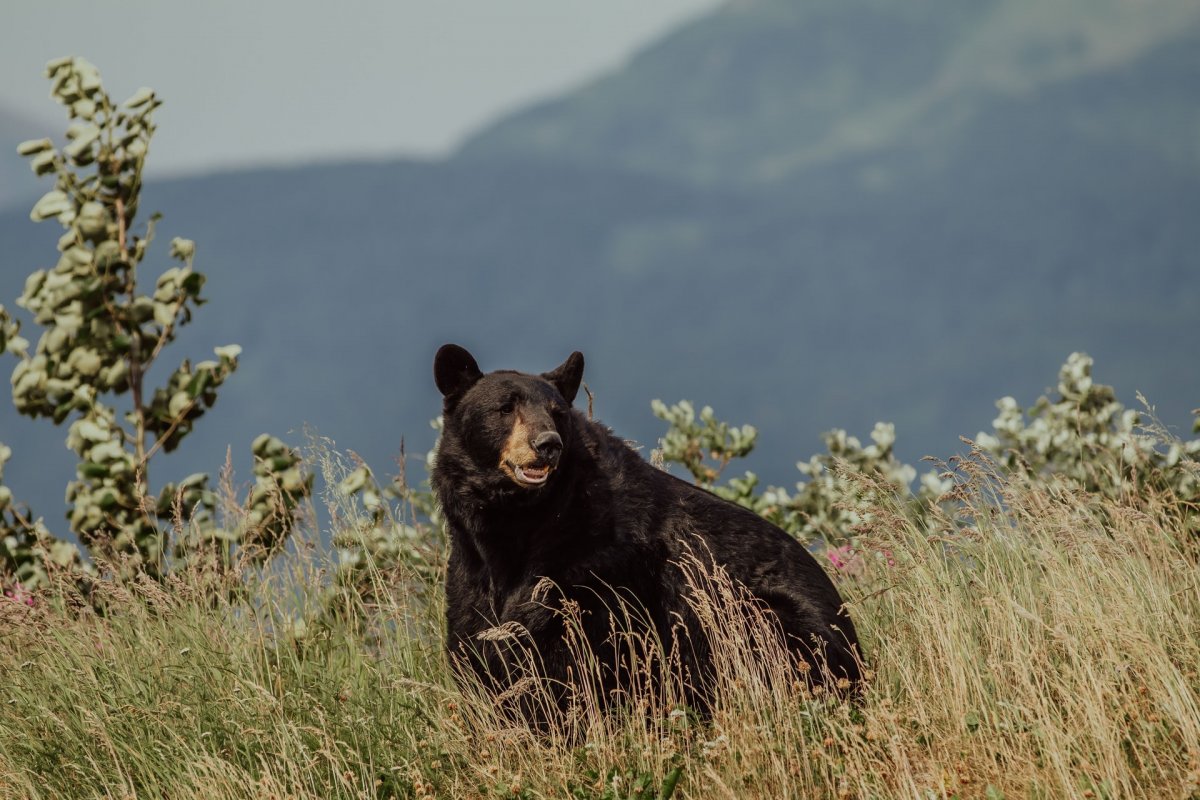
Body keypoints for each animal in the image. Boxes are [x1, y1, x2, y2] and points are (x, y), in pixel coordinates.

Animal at [431, 344, 861, 722]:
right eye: (506, 408)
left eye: (557, 414)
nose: (547, 444)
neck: (519, 522)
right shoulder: (470, 568)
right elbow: (477, 641)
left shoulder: (597, 567)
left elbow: (572, 654)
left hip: (765, 618)